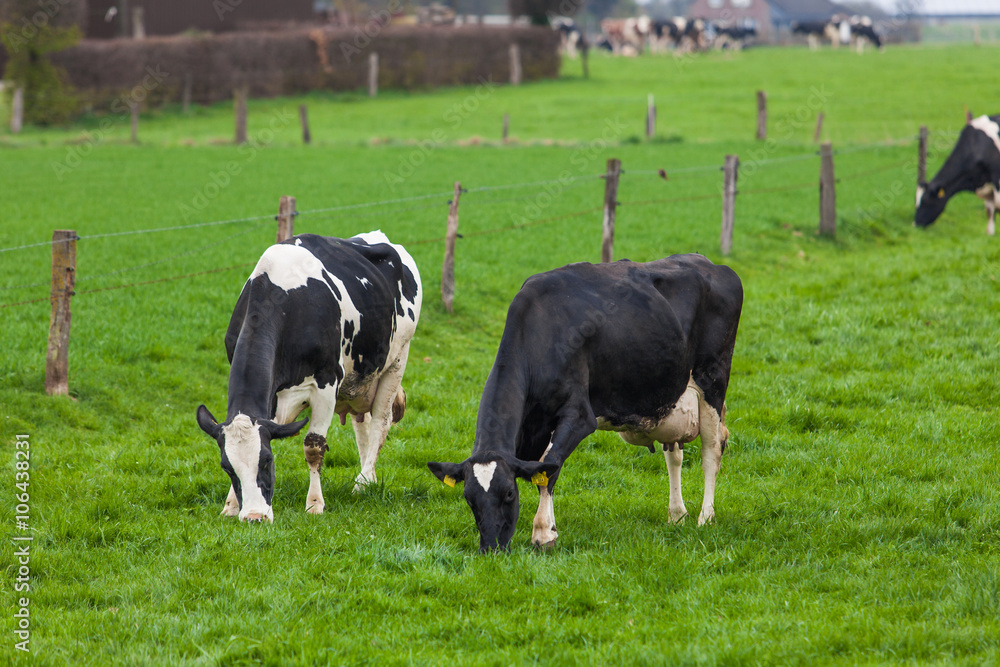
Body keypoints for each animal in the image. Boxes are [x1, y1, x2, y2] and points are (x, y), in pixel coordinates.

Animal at [197, 232, 420, 524]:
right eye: (226, 467)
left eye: (267, 460)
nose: (255, 516)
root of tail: (376, 236)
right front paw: (232, 505)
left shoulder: (326, 383)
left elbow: (313, 448)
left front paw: (315, 504)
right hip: (358, 380)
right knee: (362, 424)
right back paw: (368, 477)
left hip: (396, 361)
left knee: (380, 423)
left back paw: (362, 482)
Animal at [426, 256, 740, 552]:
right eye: (469, 499)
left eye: (509, 494)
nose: (490, 548)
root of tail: (710, 263)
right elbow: (541, 467)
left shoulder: (579, 417)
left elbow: (549, 466)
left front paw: (544, 532)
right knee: (674, 455)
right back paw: (676, 514)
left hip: (713, 378)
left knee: (711, 450)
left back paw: (705, 517)